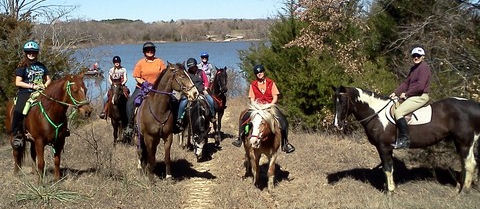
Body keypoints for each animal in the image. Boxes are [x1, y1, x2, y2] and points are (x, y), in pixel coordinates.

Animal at [332, 85, 480, 192]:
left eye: (343, 101)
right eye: (335, 101)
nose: (337, 124)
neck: (377, 114)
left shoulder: (384, 147)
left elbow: (387, 168)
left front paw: (390, 191)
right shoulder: (387, 148)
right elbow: (389, 167)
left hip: (465, 142)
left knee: (470, 164)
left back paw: (464, 191)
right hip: (459, 142)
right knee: (464, 163)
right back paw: (459, 187)